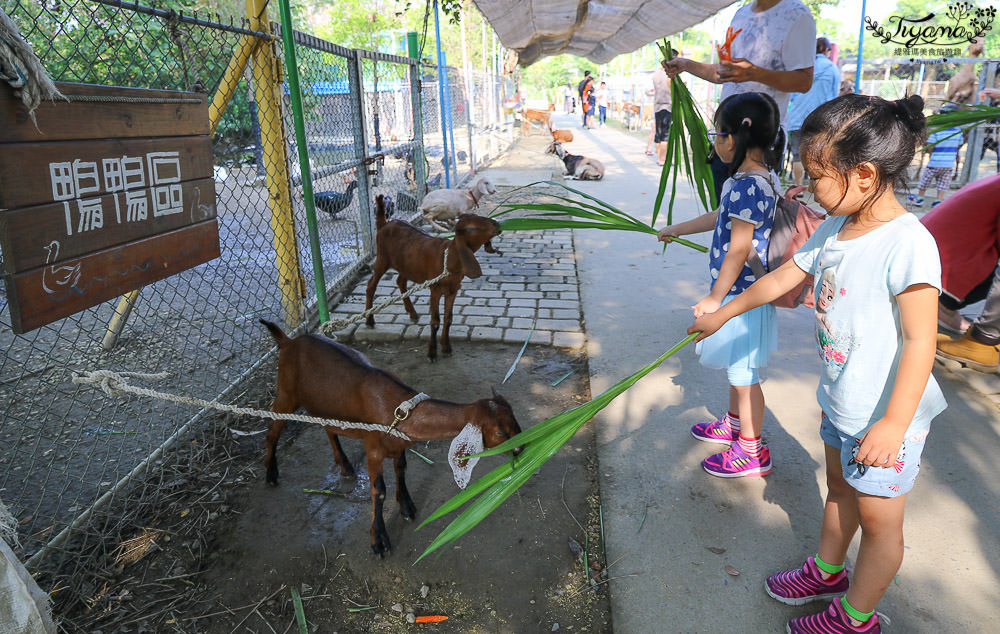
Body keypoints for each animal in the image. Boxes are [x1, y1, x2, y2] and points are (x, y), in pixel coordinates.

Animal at [258, 318, 524, 556]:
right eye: (500, 432)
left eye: (516, 421)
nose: (522, 448)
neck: (397, 409)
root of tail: (288, 341)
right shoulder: (373, 447)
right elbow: (379, 490)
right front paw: (379, 541)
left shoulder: (399, 445)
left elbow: (401, 469)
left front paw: (406, 507)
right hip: (286, 393)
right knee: (272, 429)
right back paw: (271, 474)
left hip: (323, 403)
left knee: (327, 427)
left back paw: (345, 465)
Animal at [366, 191, 504, 360]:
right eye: (471, 228)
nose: (497, 224)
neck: (449, 259)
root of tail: (384, 224)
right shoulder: (435, 288)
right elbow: (435, 320)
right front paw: (432, 352)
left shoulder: (453, 289)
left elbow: (448, 318)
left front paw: (446, 347)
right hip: (382, 258)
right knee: (371, 285)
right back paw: (369, 320)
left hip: (407, 265)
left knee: (400, 281)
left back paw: (412, 313)